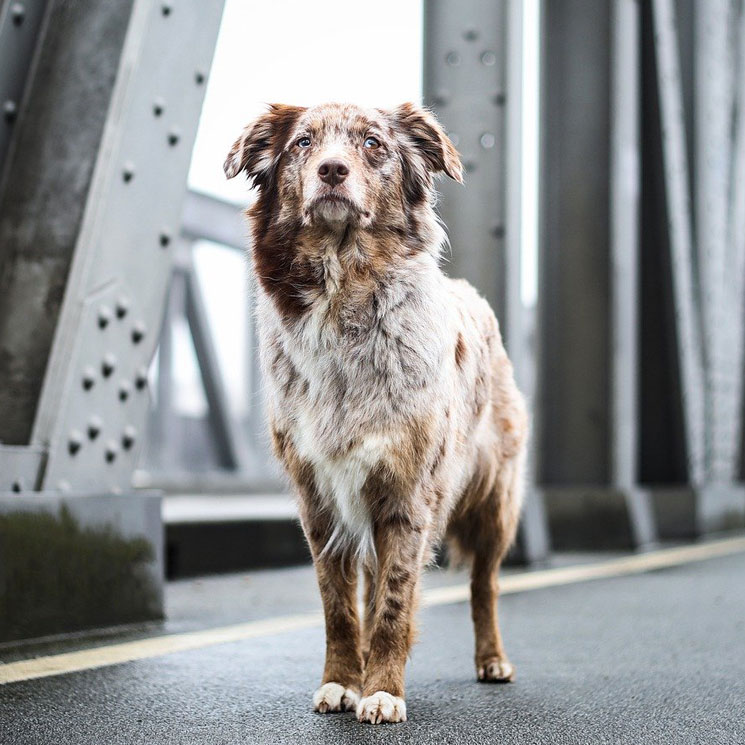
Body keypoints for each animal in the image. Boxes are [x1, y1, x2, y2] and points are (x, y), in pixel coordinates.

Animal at [224, 101, 528, 724]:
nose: (332, 170)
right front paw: (343, 682)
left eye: (372, 143)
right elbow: (340, 607)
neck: (343, 292)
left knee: (484, 585)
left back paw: (492, 660)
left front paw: (383, 690)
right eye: (303, 143)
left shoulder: (408, 496)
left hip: (495, 501)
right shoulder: (320, 498)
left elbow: (392, 604)